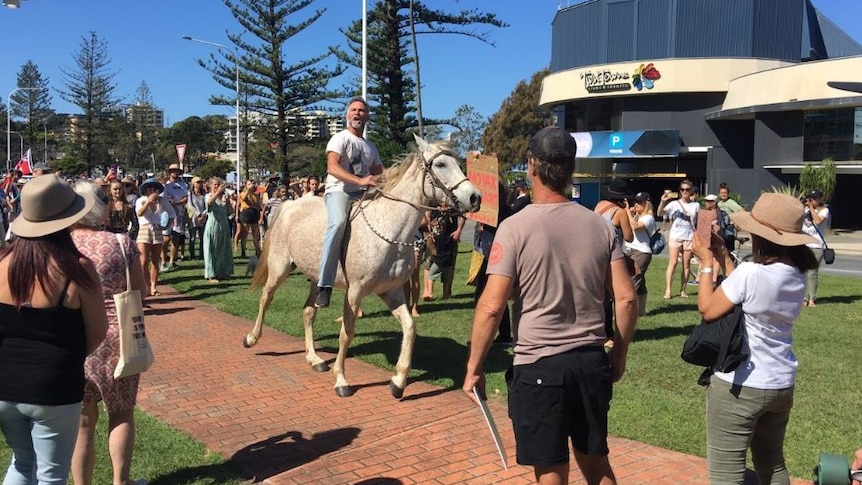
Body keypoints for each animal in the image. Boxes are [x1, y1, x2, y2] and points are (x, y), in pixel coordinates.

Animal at [246, 135, 482, 398]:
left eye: (459, 163)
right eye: (440, 164)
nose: (475, 197)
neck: (389, 230)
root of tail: (289, 204)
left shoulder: (391, 291)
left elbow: (410, 327)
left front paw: (398, 381)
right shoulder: (354, 292)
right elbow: (346, 333)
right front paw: (341, 380)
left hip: (318, 279)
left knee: (308, 311)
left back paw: (314, 358)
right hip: (280, 269)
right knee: (265, 298)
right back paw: (252, 338)